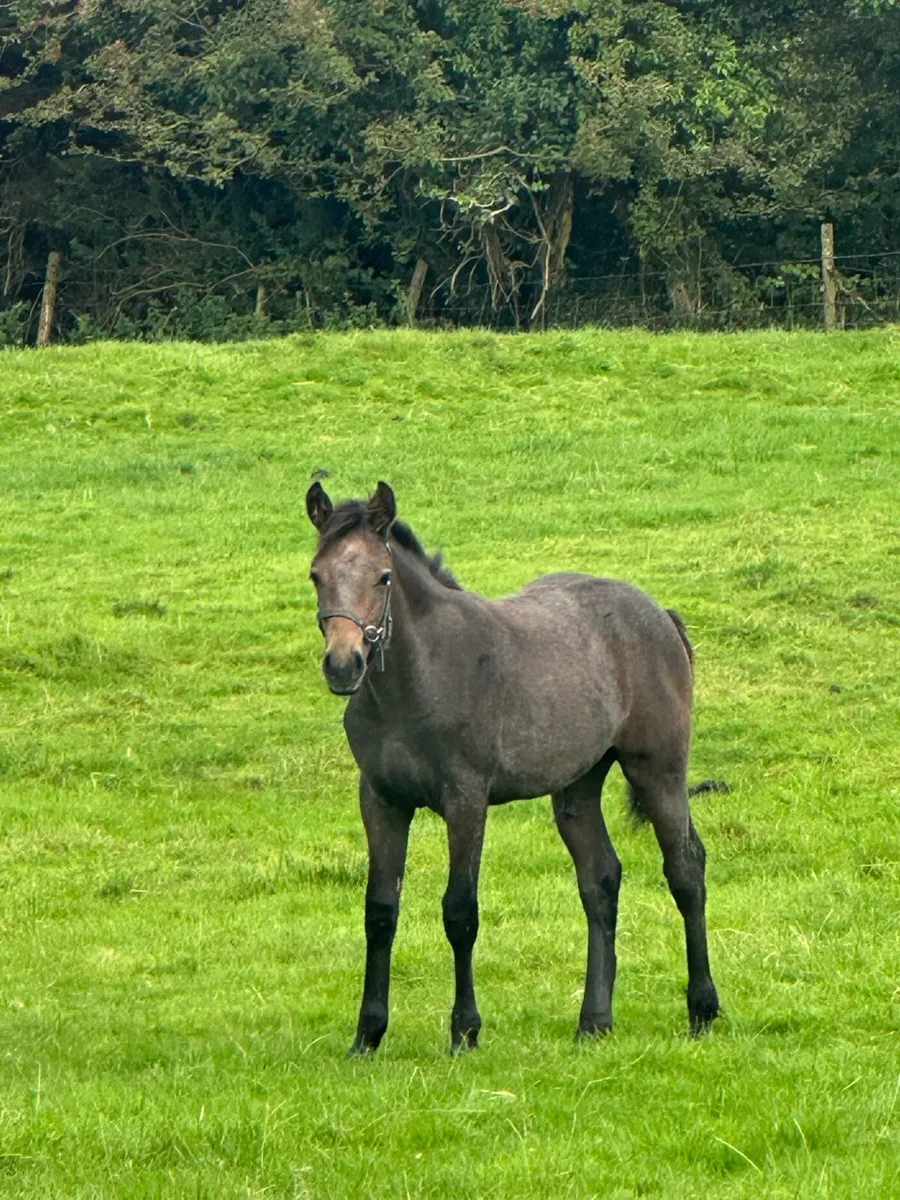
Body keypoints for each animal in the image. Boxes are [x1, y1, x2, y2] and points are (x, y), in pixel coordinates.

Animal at [306, 481, 719, 1053]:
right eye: (317, 575)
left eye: (383, 576)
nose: (344, 666)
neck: (418, 680)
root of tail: (661, 615)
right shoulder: (381, 800)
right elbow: (380, 911)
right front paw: (367, 1035)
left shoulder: (465, 799)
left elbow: (460, 911)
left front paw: (464, 1031)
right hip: (577, 786)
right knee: (600, 880)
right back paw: (594, 1021)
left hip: (658, 770)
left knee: (685, 868)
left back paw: (702, 1010)